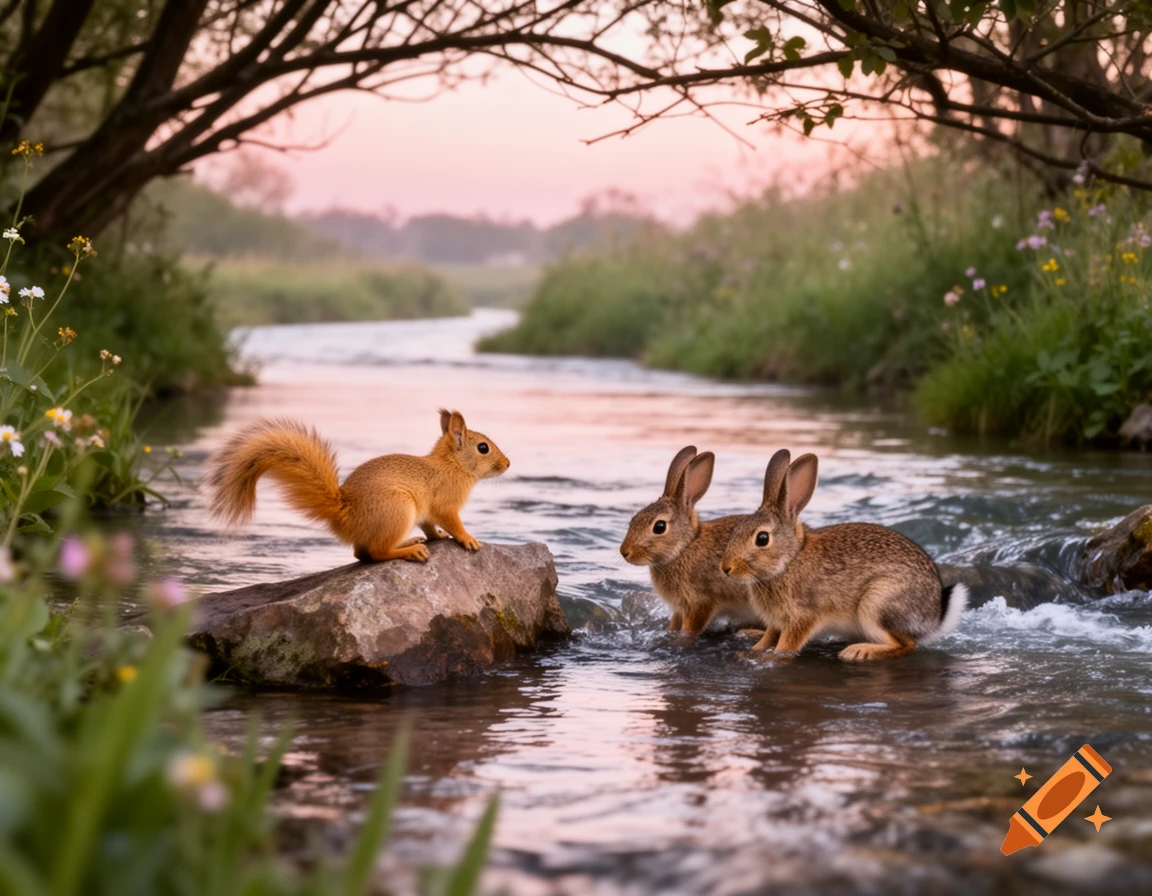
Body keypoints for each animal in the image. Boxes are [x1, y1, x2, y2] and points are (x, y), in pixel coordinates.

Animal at [205, 409, 510, 562]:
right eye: (483, 448)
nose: (508, 463)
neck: (452, 466)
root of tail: (345, 514)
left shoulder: (426, 512)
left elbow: (429, 527)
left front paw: (436, 536)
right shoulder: (446, 503)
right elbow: (452, 522)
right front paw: (468, 539)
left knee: (361, 554)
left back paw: (409, 541)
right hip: (397, 509)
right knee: (375, 553)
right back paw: (409, 550)